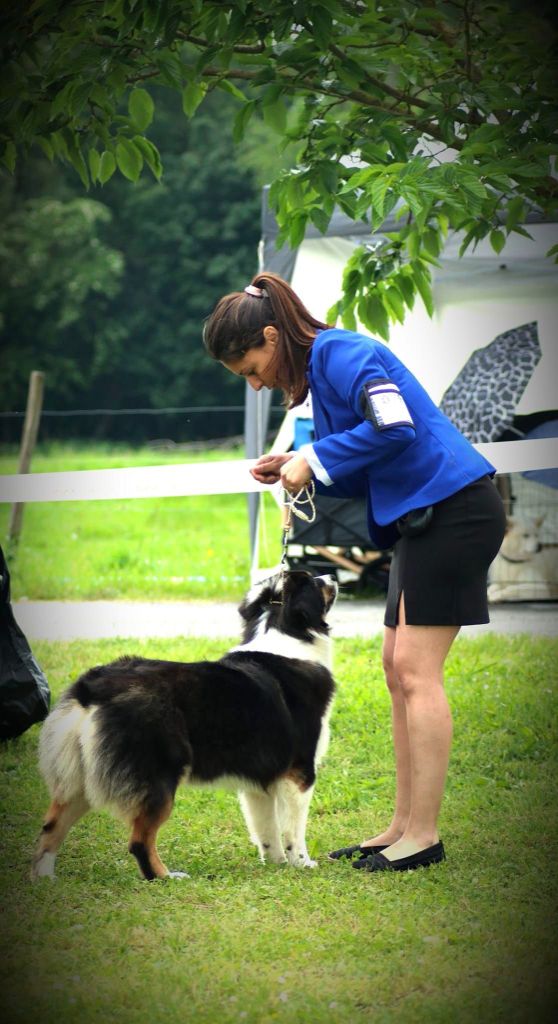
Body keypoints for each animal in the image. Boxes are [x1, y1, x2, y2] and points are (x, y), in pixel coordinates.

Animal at [32, 569, 337, 880]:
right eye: (314, 582)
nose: (332, 576)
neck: (285, 630)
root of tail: (92, 688)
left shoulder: (259, 779)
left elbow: (267, 830)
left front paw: (276, 864)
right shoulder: (299, 772)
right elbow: (294, 828)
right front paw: (302, 862)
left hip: (78, 776)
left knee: (50, 828)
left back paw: (43, 880)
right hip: (158, 777)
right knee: (139, 841)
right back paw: (166, 878)